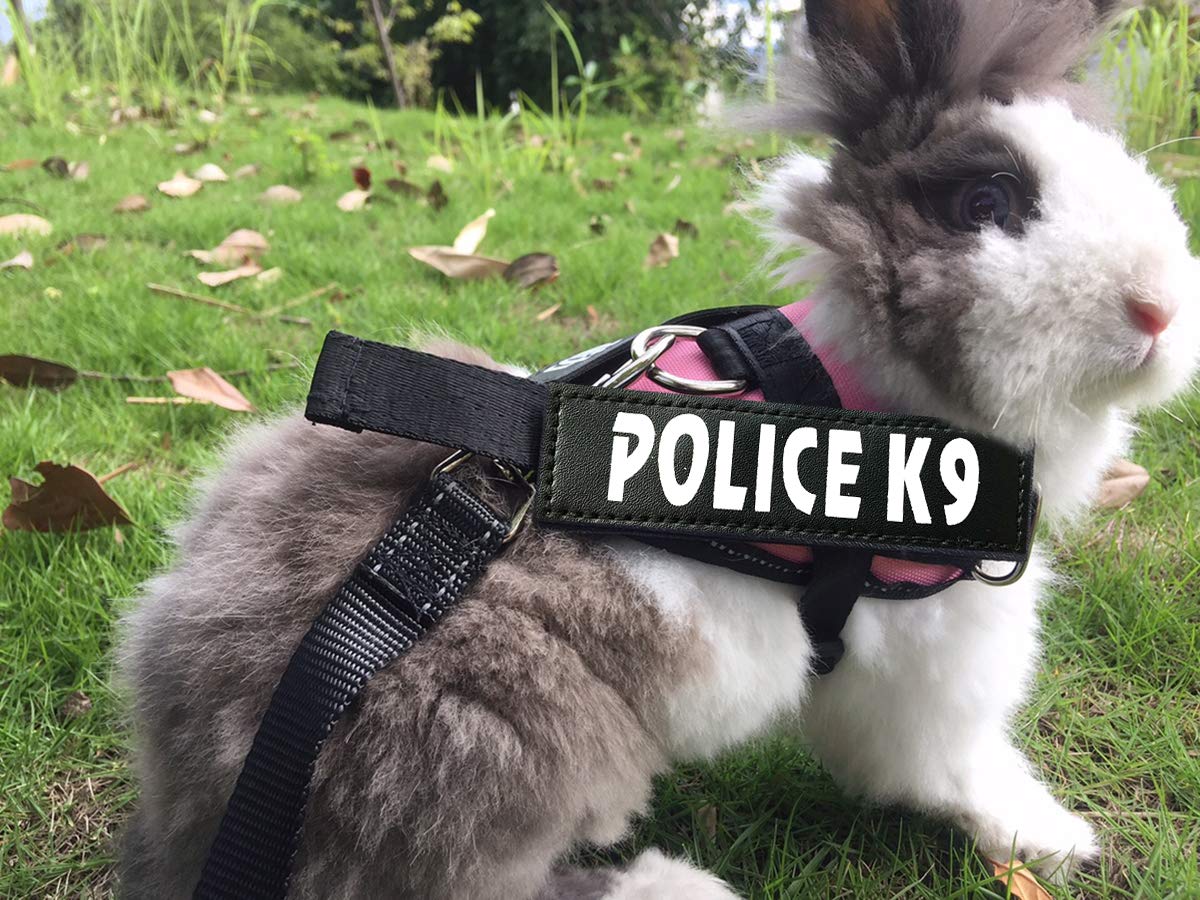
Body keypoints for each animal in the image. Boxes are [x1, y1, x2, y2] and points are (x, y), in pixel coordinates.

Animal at [117, 0, 1200, 897]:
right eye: (988, 204)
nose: (1160, 308)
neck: (871, 404)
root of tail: (195, 789)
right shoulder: (931, 669)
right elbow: (958, 766)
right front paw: (1058, 838)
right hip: (492, 754)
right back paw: (677, 886)